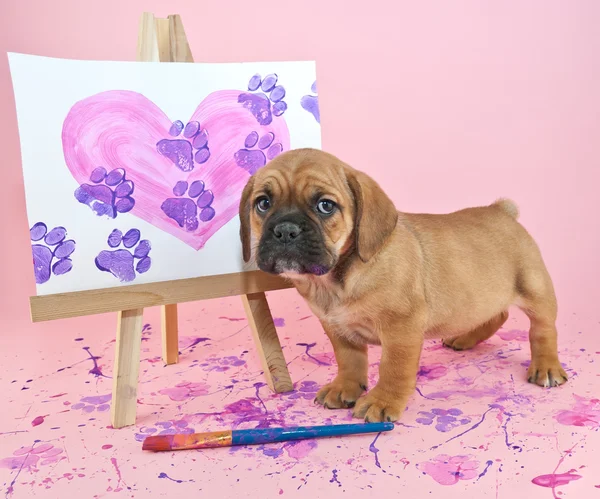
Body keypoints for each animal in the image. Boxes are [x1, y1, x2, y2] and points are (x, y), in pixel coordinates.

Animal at [237, 147, 564, 422]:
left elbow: (393, 369)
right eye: (263, 203)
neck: (337, 279)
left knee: (542, 330)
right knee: (498, 314)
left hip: (535, 289)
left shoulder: (401, 329)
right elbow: (349, 360)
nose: (285, 230)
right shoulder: (337, 328)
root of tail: (501, 210)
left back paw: (546, 367)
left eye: (325, 206)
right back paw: (465, 338)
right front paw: (345, 388)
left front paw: (382, 402)